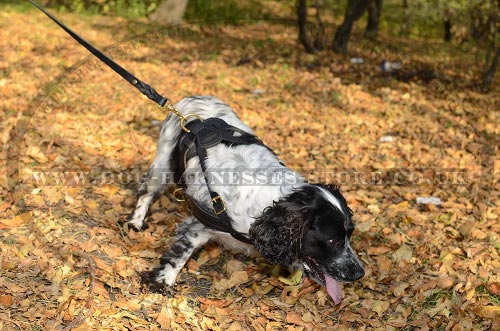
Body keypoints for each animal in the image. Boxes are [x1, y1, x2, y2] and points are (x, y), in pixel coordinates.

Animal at [127, 96, 366, 306]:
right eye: (333, 241)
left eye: (350, 235)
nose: (360, 273)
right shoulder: (198, 225)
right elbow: (179, 256)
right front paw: (162, 282)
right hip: (163, 164)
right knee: (146, 191)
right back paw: (136, 222)